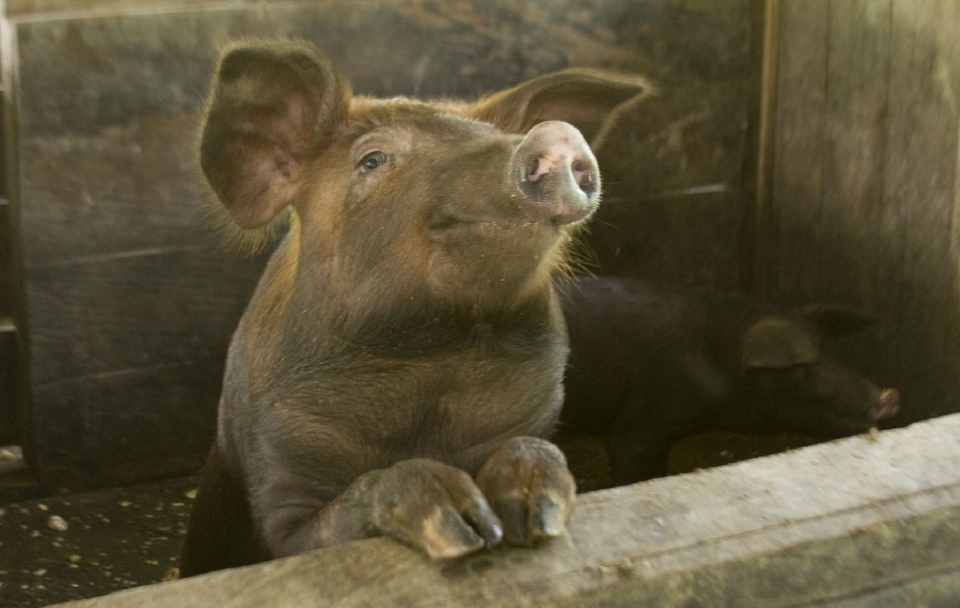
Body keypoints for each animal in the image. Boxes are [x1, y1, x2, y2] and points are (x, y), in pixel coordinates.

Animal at [177, 40, 648, 576]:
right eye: (373, 160)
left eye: (499, 135)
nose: (555, 133)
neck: (429, 362)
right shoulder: (277, 477)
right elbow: (317, 532)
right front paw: (462, 526)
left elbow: (537, 446)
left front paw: (533, 513)